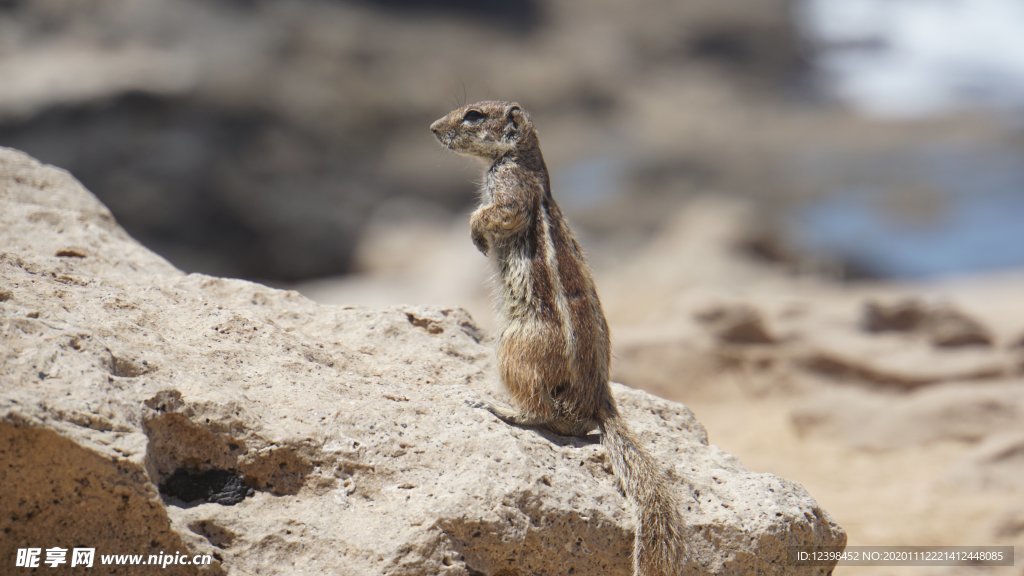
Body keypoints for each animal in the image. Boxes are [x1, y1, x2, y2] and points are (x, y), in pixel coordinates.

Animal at [428, 100, 684, 569]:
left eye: (473, 115)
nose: (434, 128)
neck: (524, 157)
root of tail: (601, 398)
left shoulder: (511, 189)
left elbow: (497, 213)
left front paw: (475, 233)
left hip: (514, 350)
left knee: (545, 414)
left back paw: (500, 408)